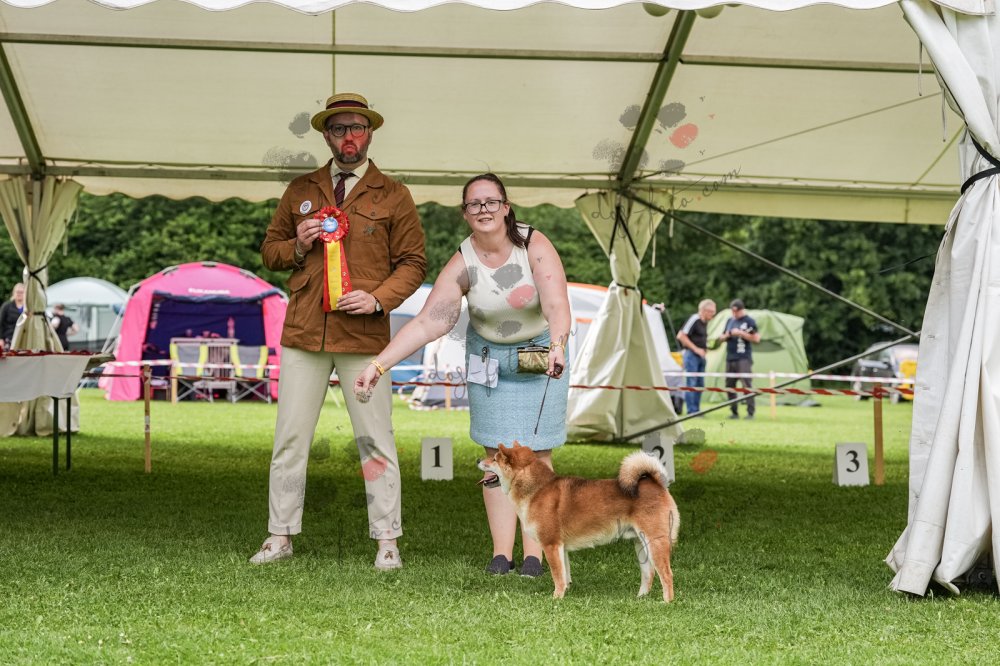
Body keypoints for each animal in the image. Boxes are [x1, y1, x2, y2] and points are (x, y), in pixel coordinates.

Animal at [478, 442, 679, 601]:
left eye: (494, 459)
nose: (478, 460)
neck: (537, 490)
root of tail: (657, 484)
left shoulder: (551, 545)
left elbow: (557, 575)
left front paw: (556, 598)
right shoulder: (561, 548)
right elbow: (564, 574)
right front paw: (564, 593)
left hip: (655, 542)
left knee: (667, 574)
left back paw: (666, 602)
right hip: (640, 544)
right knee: (649, 573)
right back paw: (640, 598)